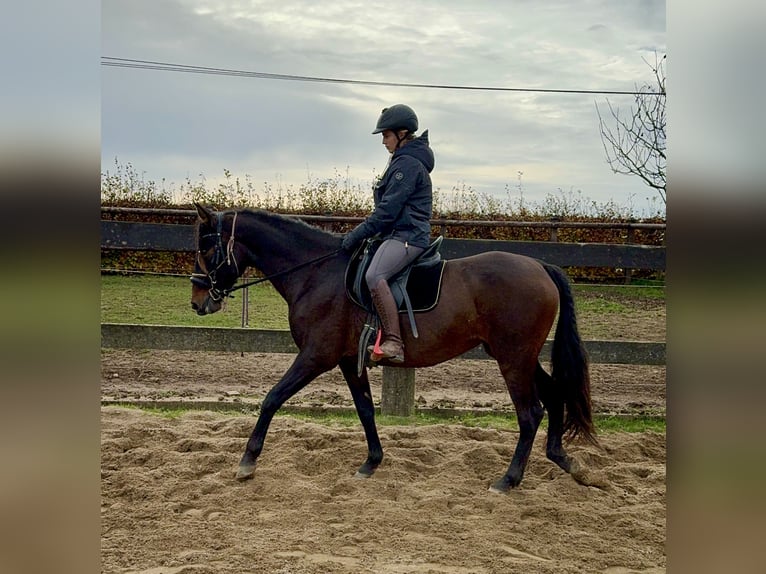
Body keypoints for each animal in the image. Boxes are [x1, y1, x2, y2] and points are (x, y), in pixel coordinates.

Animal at [189, 204, 596, 496]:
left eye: (206, 247)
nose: (197, 301)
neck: (317, 274)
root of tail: (540, 266)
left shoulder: (316, 356)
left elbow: (272, 398)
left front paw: (247, 462)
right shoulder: (347, 360)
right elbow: (366, 409)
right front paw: (371, 462)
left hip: (513, 358)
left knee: (530, 414)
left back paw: (508, 480)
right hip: (518, 356)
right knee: (555, 395)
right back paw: (566, 461)